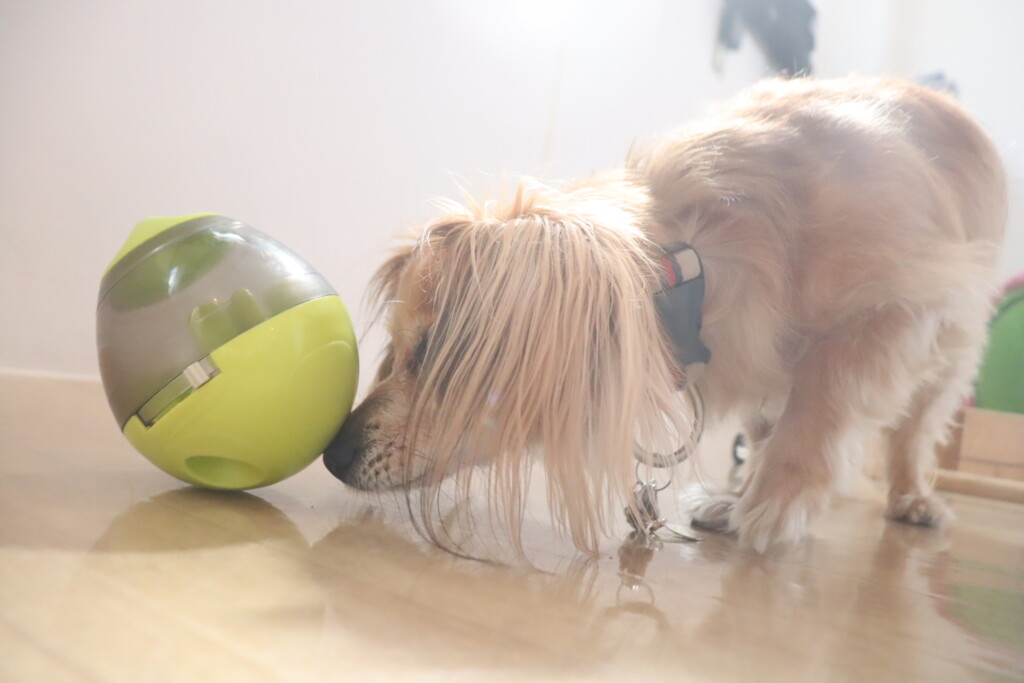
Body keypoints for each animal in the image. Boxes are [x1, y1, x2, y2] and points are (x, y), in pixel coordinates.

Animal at [324, 77, 1006, 553]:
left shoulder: (900, 312)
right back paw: (733, 496)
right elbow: (785, 418)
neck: (690, 265)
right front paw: (750, 495)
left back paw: (910, 498)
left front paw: (778, 500)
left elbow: (821, 404)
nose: (332, 454)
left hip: (951, 352)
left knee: (913, 432)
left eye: (432, 351)